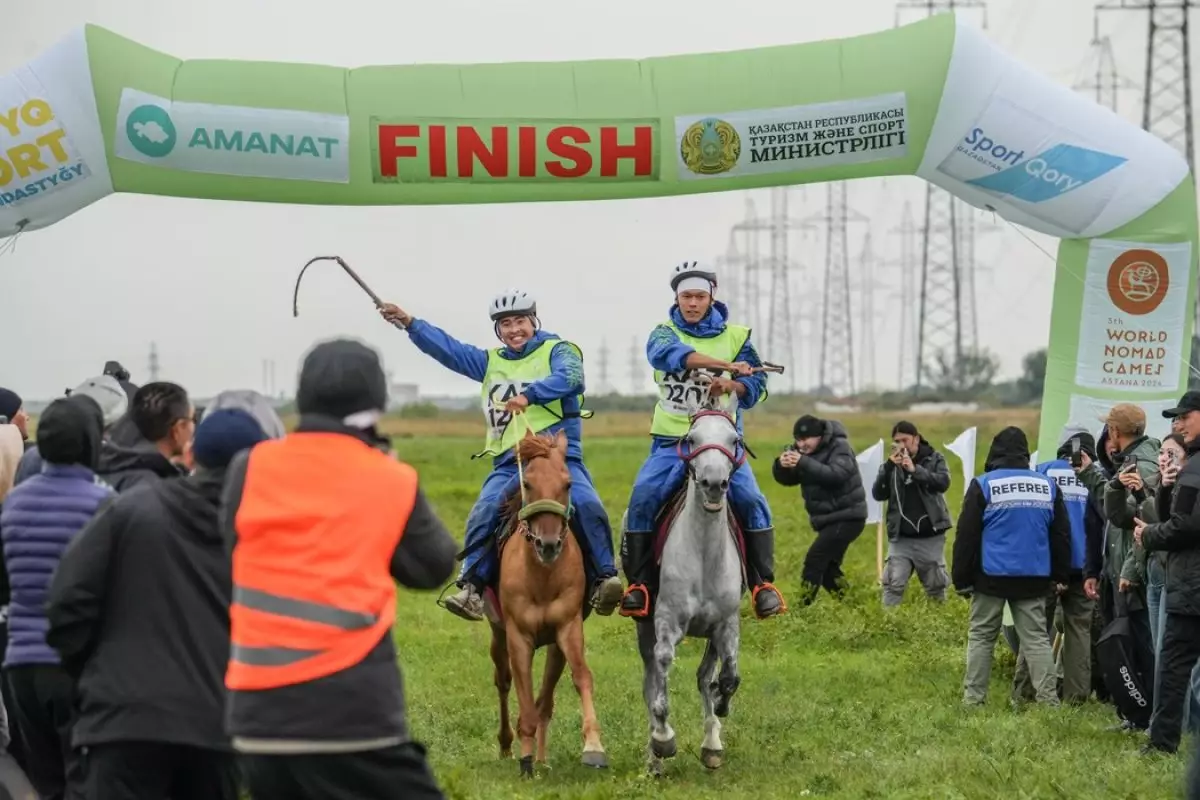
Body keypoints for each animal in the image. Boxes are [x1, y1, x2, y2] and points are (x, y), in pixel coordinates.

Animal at [480, 429, 604, 777]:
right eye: (527, 483)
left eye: (568, 483)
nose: (548, 545)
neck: (542, 576)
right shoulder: (518, 637)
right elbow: (522, 692)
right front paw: (524, 760)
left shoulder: (567, 628)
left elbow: (581, 678)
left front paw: (593, 746)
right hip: (498, 636)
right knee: (503, 682)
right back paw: (508, 745)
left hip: (553, 645)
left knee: (545, 700)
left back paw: (542, 756)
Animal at [633, 386, 744, 777]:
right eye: (692, 438)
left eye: (733, 440)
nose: (713, 484)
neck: (704, 555)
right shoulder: (666, 621)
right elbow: (662, 675)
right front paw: (663, 740)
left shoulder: (726, 624)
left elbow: (728, 676)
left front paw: (720, 715)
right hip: (643, 624)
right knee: (650, 680)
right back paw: (654, 757)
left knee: (704, 675)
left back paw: (711, 744)